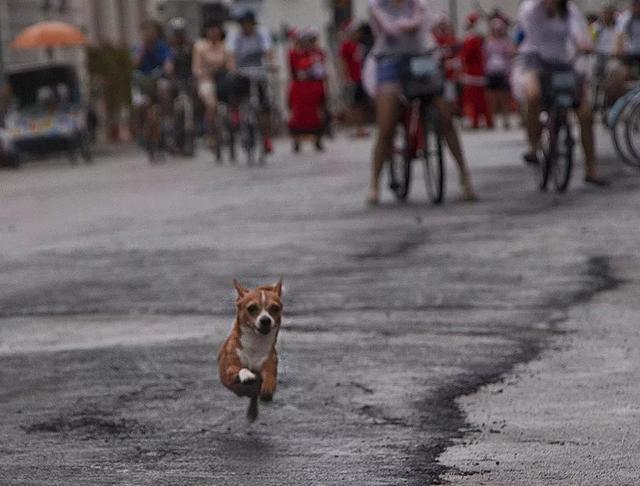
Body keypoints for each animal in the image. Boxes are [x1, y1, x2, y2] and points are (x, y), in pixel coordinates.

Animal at [218, 280, 282, 422]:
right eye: (251, 308)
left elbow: (270, 377)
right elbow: (240, 368)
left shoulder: (269, 366)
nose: (265, 320)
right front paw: (247, 375)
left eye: (274, 308)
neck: (254, 344)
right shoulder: (229, 370)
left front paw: (267, 388)